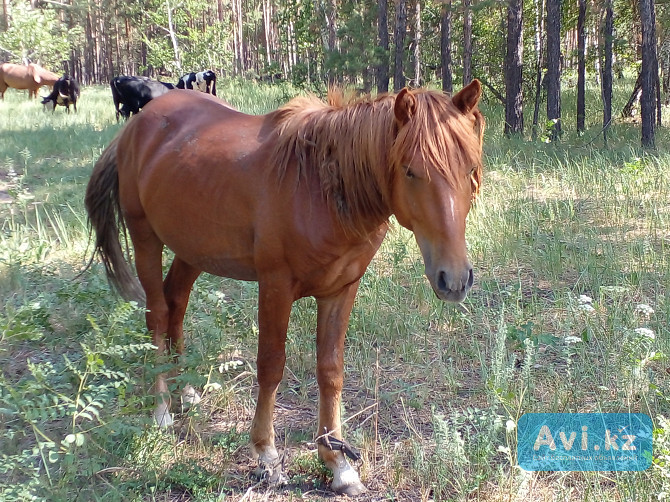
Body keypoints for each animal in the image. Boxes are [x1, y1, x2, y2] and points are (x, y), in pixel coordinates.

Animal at [86, 82, 488, 494]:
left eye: (470, 169)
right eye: (410, 171)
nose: (455, 279)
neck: (320, 187)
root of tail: (137, 125)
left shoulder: (341, 290)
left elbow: (331, 371)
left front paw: (338, 462)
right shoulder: (275, 286)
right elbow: (270, 366)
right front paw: (266, 454)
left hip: (192, 249)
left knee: (176, 302)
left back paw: (186, 391)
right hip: (145, 239)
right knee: (158, 314)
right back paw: (163, 408)